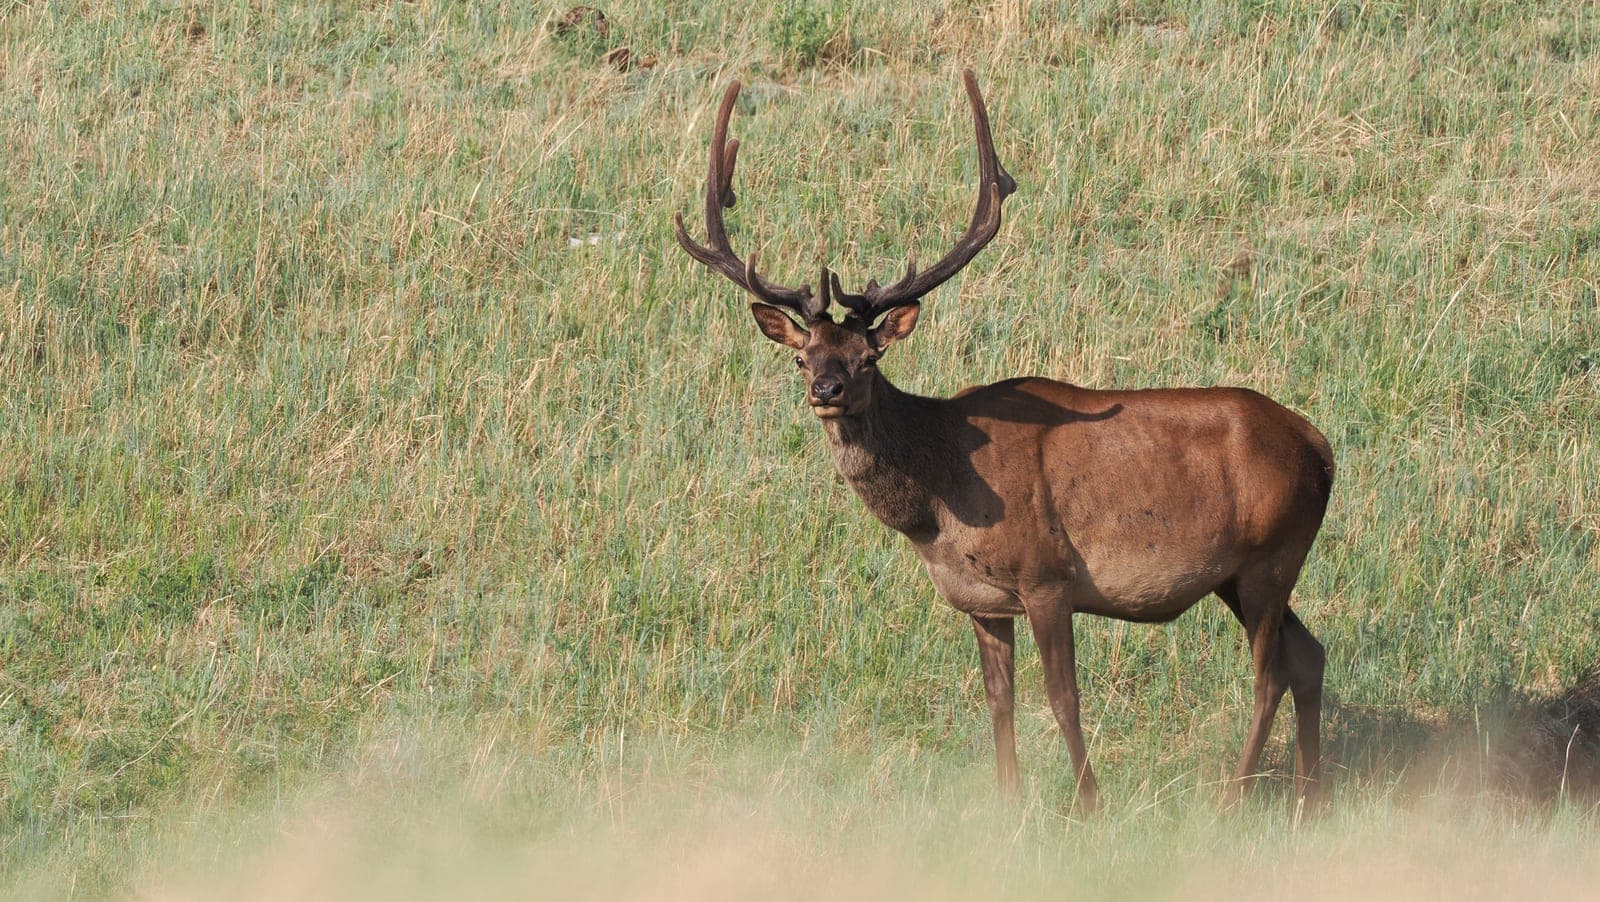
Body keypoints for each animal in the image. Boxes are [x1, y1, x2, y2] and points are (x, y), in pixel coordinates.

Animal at [675, 70, 1335, 812]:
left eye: (869, 357)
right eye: (801, 355)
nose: (827, 388)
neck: (938, 508)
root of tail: (1322, 448)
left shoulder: (1047, 576)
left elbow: (1064, 698)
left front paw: (1088, 803)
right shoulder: (980, 600)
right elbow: (999, 701)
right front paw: (1007, 802)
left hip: (1272, 554)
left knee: (1270, 673)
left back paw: (1234, 796)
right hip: (1240, 572)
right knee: (1309, 656)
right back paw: (1310, 797)